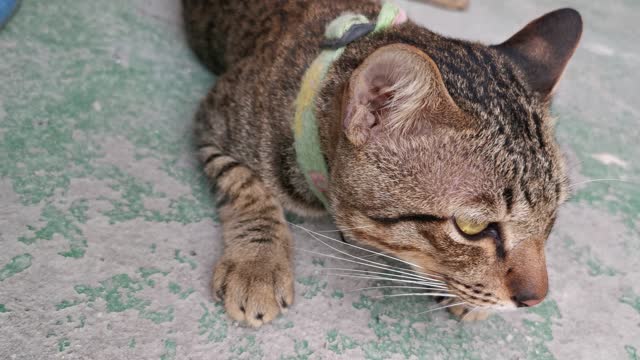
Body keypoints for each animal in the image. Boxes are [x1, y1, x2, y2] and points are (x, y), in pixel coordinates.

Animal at [181, 0, 584, 326]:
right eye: (472, 227)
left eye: (551, 219)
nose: (534, 300)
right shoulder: (211, 120)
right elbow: (248, 187)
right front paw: (258, 265)